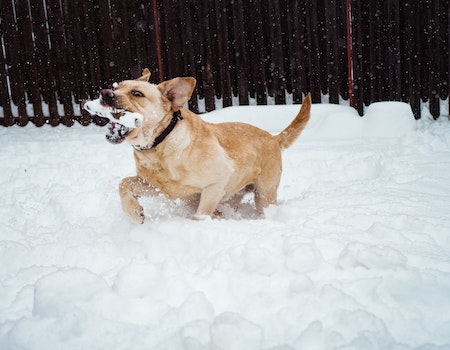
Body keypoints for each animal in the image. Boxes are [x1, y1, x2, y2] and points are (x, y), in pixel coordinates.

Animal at [98, 68, 310, 223]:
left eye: (137, 93)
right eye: (117, 86)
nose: (106, 93)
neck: (160, 145)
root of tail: (274, 138)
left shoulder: (216, 183)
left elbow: (201, 214)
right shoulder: (156, 186)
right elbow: (124, 183)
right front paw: (134, 212)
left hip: (264, 194)